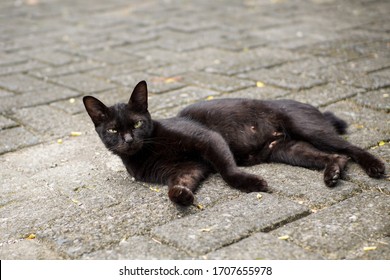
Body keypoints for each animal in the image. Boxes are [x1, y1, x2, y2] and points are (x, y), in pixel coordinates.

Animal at [84, 81, 386, 206]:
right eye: (113, 129)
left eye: (136, 124)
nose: (128, 140)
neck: (147, 151)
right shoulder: (186, 169)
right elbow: (175, 187)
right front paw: (182, 197)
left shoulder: (208, 139)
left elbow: (228, 171)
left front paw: (252, 183)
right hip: (289, 150)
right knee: (337, 157)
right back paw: (332, 174)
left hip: (309, 129)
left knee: (350, 149)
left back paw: (375, 166)